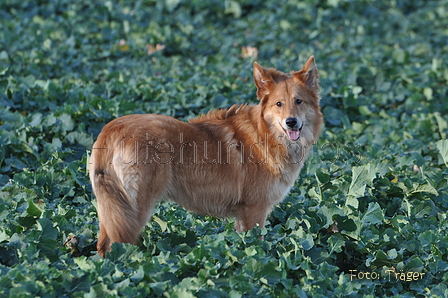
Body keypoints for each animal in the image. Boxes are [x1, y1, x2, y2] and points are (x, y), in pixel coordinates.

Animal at [89, 56, 324, 256]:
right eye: (279, 104)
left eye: (299, 101)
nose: (291, 122)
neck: (265, 134)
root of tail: (111, 129)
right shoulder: (254, 210)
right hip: (135, 209)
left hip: (114, 209)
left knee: (102, 244)